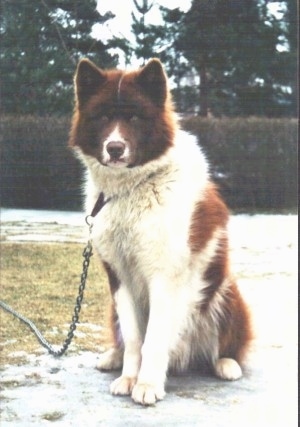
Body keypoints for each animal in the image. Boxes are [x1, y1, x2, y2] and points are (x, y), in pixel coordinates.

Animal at [69, 58, 252, 406]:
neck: (133, 189)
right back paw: (112, 357)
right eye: (103, 116)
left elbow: (153, 337)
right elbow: (134, 336)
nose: (115, 148)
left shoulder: (165, 275)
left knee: (228, 345)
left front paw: (148, 384)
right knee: (121, 337)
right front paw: (129, 378)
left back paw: (227, 364)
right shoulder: (119, 276)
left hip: (226, 293)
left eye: (134, 117)